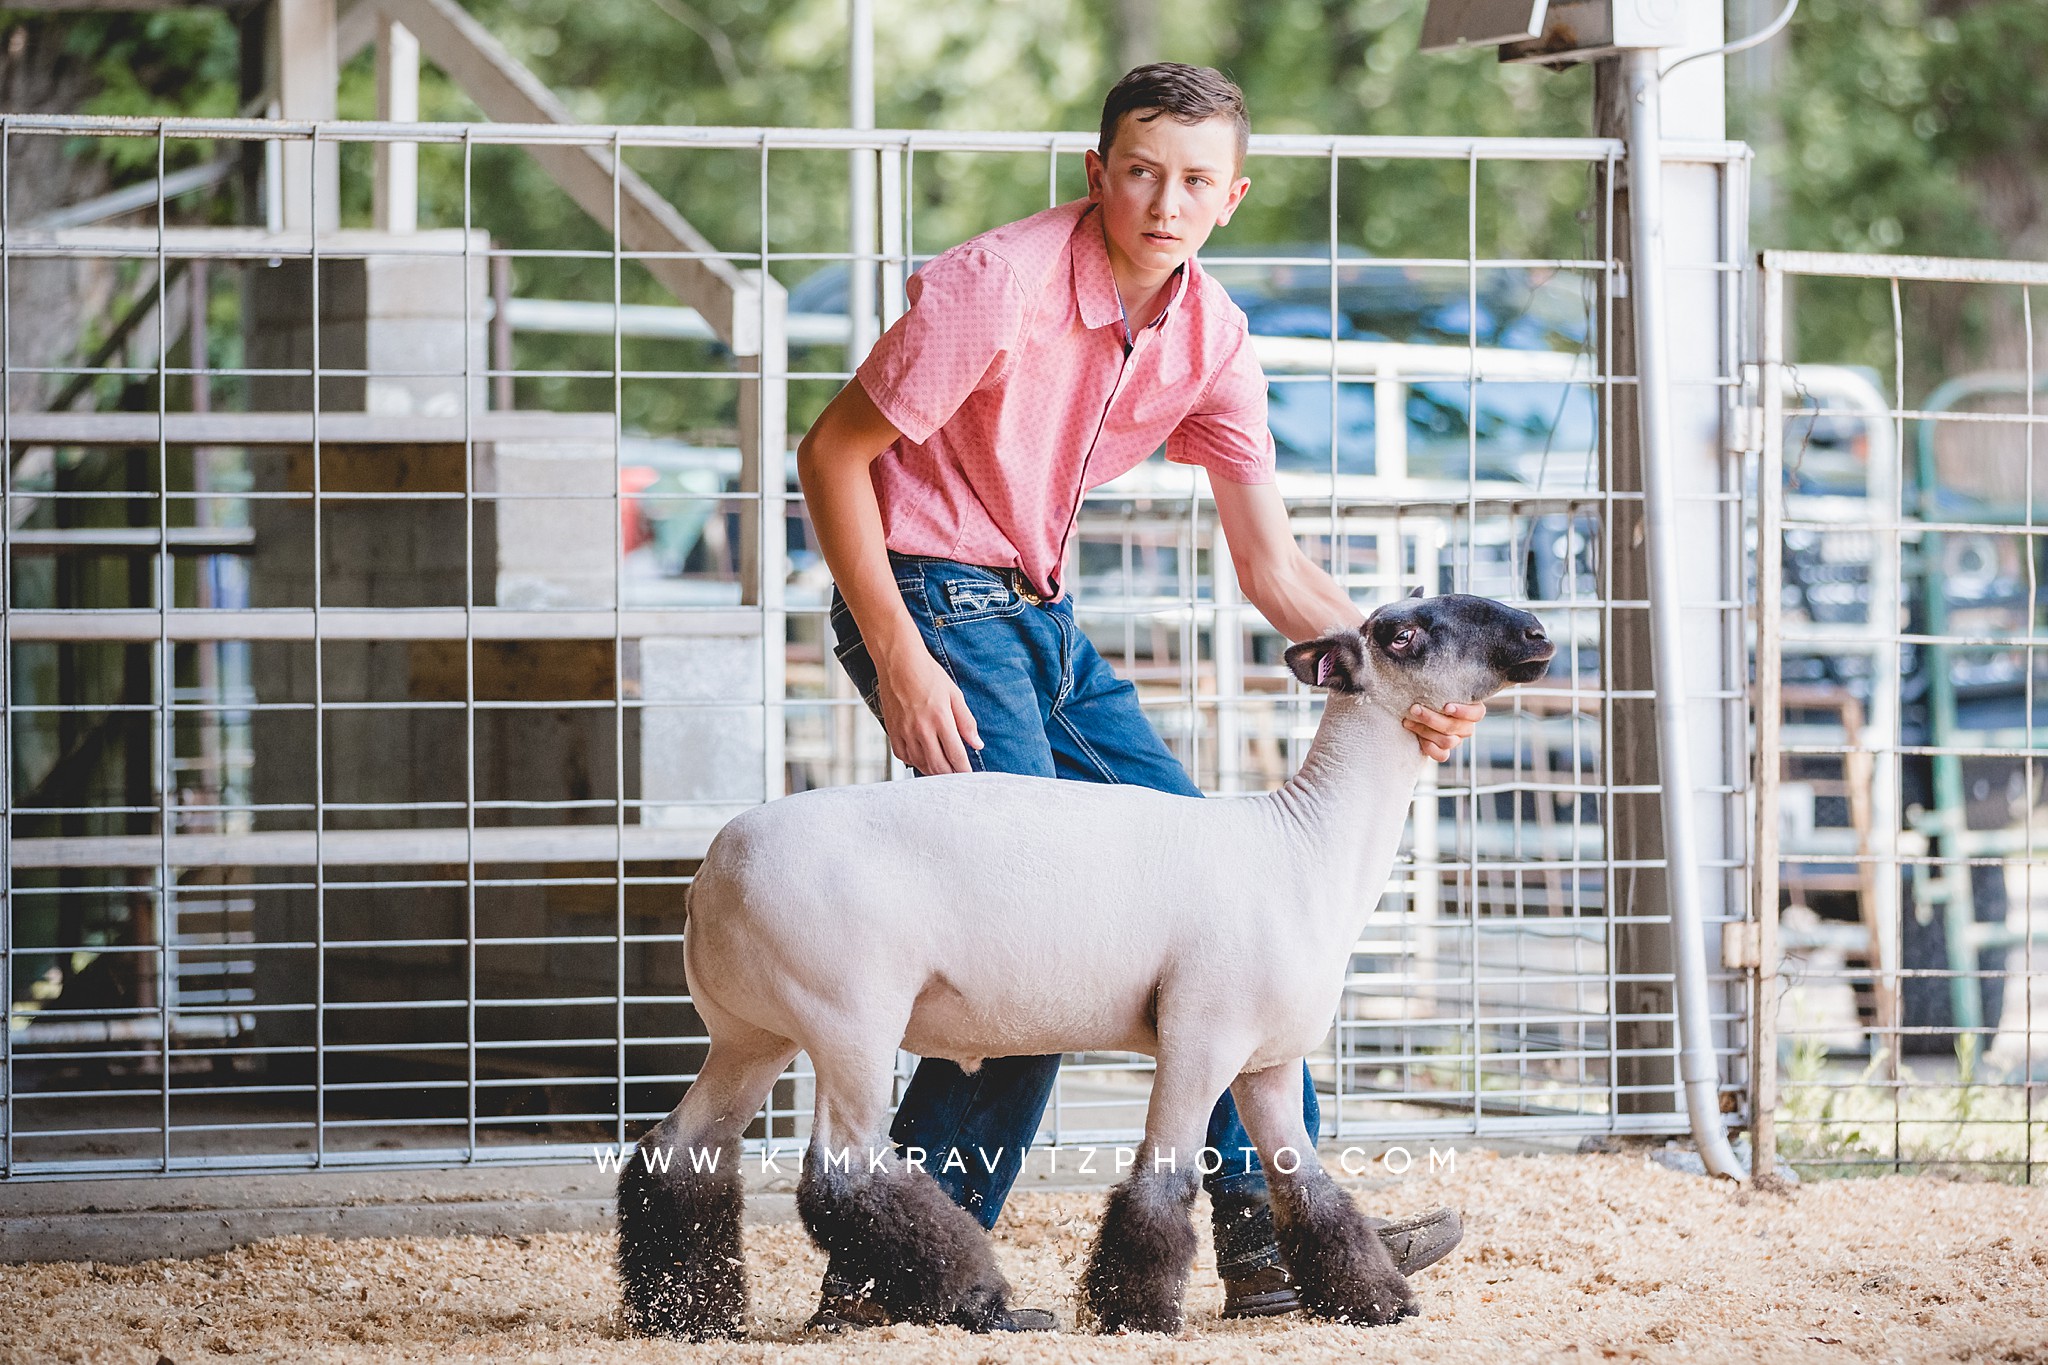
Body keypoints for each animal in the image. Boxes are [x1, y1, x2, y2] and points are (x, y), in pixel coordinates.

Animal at [614, 589, 1540, 1334]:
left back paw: (687, 1316)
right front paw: (1136, 1313)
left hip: (752, 1028)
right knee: (843, 1174)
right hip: (848, 1014)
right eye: (1404, 634)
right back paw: (973, 1293)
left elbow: (1311, 1191)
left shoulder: (1270, 1061)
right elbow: (1160, 1185)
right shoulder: (1202, 1032)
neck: (1307, 846)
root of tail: (711, 875)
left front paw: (1373, 1300)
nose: (1536, 633)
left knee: (682, 1153)